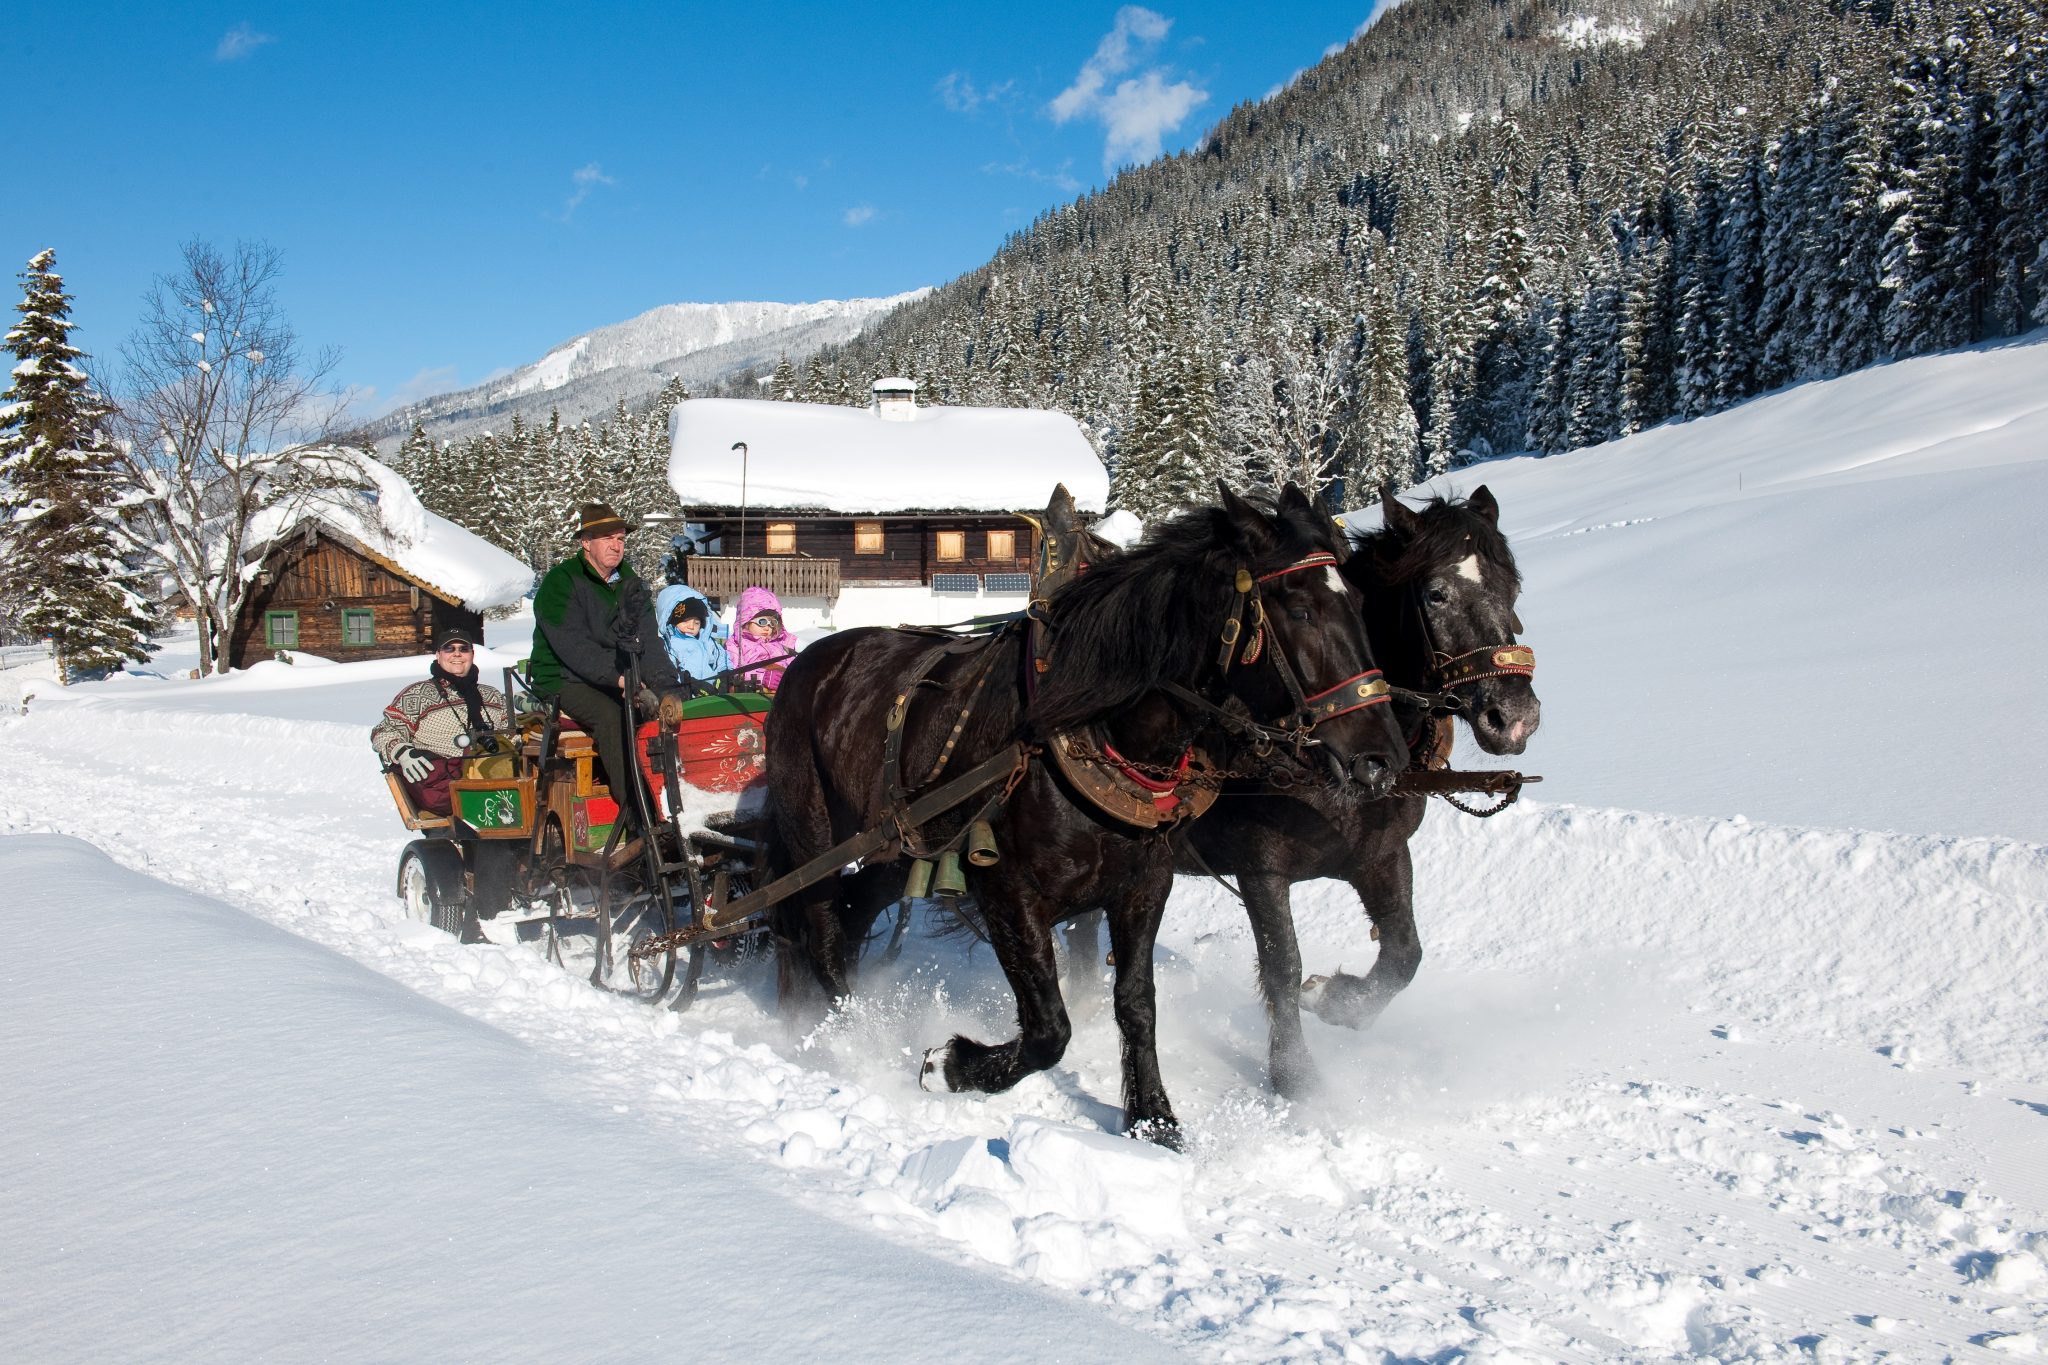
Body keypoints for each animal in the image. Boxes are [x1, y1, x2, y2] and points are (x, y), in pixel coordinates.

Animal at [765, 485, 1409, 1146]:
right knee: (821, 931)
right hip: (814, 836)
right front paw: (951, 1065)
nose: (1382, 761)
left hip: (896, 849)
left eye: (1361, 603)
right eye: (1300, 610)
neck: (1091, 727)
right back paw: (850, 1039)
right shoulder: (1006, 891)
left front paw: (1154, 1119)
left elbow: (1137, 1003)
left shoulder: (1143, 886)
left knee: (852, 916)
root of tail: (810, 661)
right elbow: (1049, 1029)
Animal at [1179, 485, 1540, 1096]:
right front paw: (1295, 1077)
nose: (1514, 719)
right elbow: (1282, 964)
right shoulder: (1260, 866)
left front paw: (1336, 1000)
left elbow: (1403, 953)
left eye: (1511, 588)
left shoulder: (1381, 853)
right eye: (1436, 594)